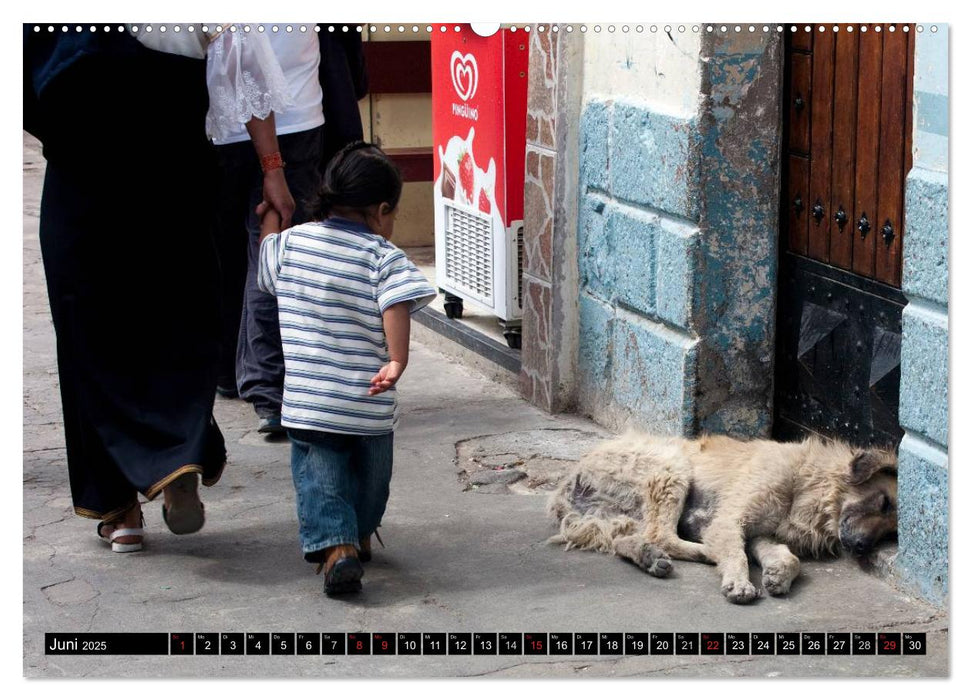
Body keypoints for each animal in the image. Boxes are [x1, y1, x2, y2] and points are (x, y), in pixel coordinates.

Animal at [548, 432, 896, 600]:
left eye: (893, 533)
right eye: (883, 502)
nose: (863, 547)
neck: (808, 481)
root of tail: (571, 477)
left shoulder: (761, 533)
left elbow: (787, 557)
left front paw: (779, 574)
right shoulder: (732, 520)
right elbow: (737, 554)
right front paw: (740, 582)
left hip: (628, 512)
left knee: (632, 538)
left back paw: (649, 556)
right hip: (671, 467)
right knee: (662, 534)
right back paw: (701, 550)